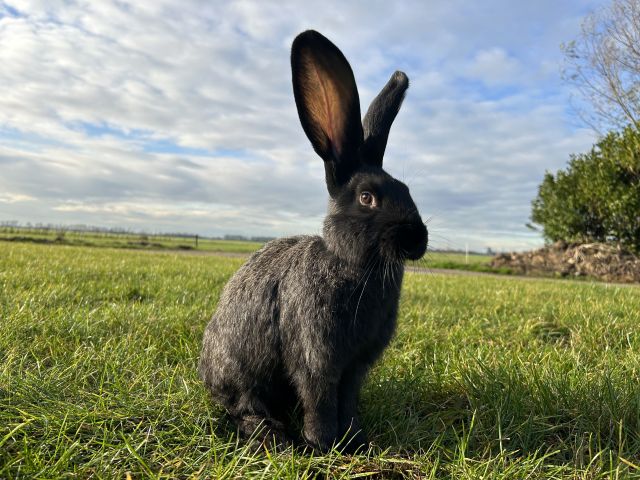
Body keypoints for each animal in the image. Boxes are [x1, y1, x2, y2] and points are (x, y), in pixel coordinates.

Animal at [199, 31, 430, 454]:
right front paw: (322, 443)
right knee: (242, 407)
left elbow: (348, 399)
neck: (352, 265)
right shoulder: (316, 356)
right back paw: (271, 435)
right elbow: (320, 397)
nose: (417, 239)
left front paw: (354, 438)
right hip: (242, 373)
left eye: (407, 190)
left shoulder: (356, 366)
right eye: (367, 198)